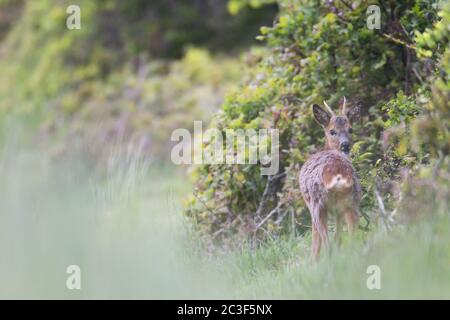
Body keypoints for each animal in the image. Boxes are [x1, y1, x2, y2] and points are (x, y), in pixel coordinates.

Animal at [298, 97, 362, 262]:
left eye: (350, 129)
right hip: (352, 200)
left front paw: (313, 262)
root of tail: (337, 173)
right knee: (351, 235)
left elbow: (316, 240)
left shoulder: (309, 204)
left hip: (318, 205)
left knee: (326, 242)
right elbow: (338, 238)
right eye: (332, 131)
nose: (345, 145)